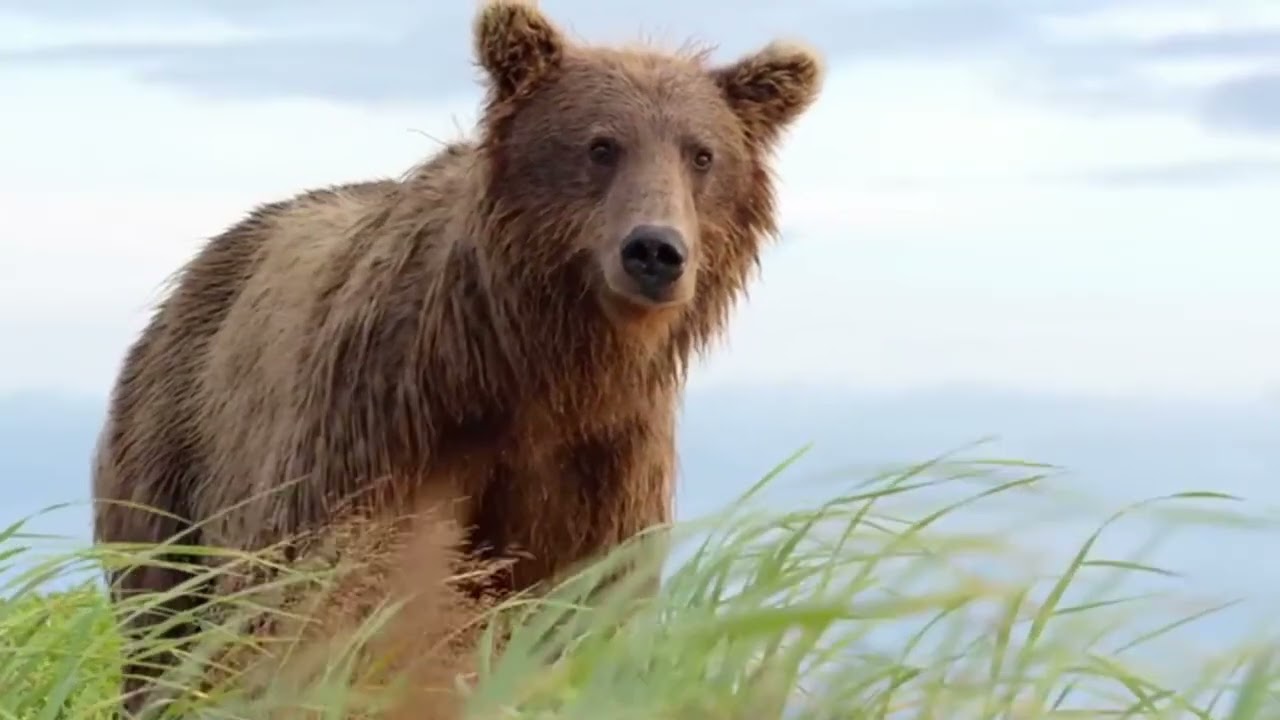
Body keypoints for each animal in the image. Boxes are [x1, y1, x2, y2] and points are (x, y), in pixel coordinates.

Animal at [91, 0, 824, 715]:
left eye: (702, 154)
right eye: (601, 145)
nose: (655, 251)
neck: (535, 365)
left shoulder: (603, 458)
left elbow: (581, 609)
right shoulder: (376, 421)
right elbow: (325, 601)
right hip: (174, 447)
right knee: (162, 618)